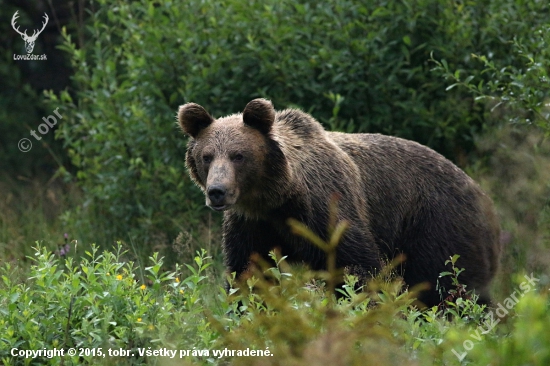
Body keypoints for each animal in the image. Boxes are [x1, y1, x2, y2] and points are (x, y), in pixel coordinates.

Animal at [178, 97, 504, 306]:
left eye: (239, 155)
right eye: (207, 156)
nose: (217, 191)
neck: (278, 198)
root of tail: (482, 195)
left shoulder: (328, 207)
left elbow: (358, 268)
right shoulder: (252, 225)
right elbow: (248, 274)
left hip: (437, 224)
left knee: (451, 285)